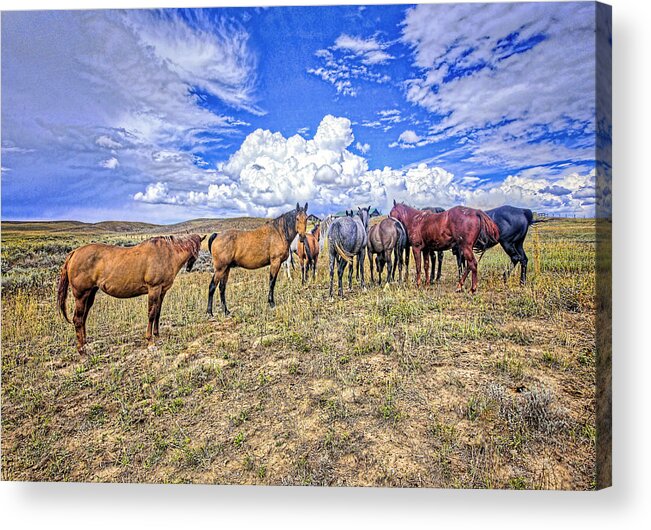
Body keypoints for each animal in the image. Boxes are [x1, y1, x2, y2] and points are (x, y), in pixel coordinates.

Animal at [58, 234, 204, 350]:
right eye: (196, 248)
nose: (189, 267)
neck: (167, 253)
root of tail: (74, 253)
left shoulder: (162, 291)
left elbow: (158, 312)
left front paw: (157, 335)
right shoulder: (154, 289)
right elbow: (151, 314)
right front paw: (150, 342)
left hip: (90, 293)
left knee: (83, 318)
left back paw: (85, 344)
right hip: (81, 295)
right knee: (77, 319)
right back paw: (82, 351)